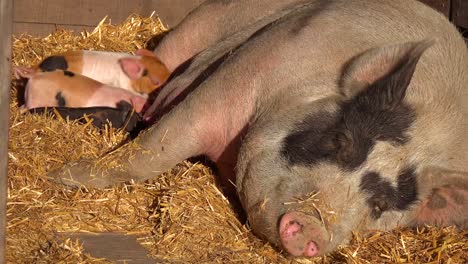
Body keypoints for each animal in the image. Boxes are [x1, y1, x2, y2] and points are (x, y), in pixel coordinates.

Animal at [49, 0, 466, 256]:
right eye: (340, 140)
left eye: (379, 204)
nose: (313, 226)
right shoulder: (247, 71)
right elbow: (158, 147)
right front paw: (60, 177)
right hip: (201, 24)